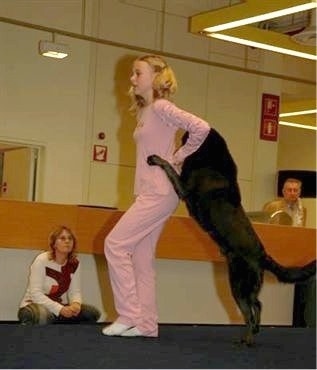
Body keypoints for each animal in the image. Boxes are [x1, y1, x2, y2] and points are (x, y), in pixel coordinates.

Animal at [147, 128, 314, 346]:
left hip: (238, 285)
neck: (211, 160)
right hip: (246, 285)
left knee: (249, 312)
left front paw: (155, 158)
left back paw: (247, 340)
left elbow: (169, 167)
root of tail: (262, 255)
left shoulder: (184, 189)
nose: (184, 131)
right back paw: (255, 331)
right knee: (257, 304)